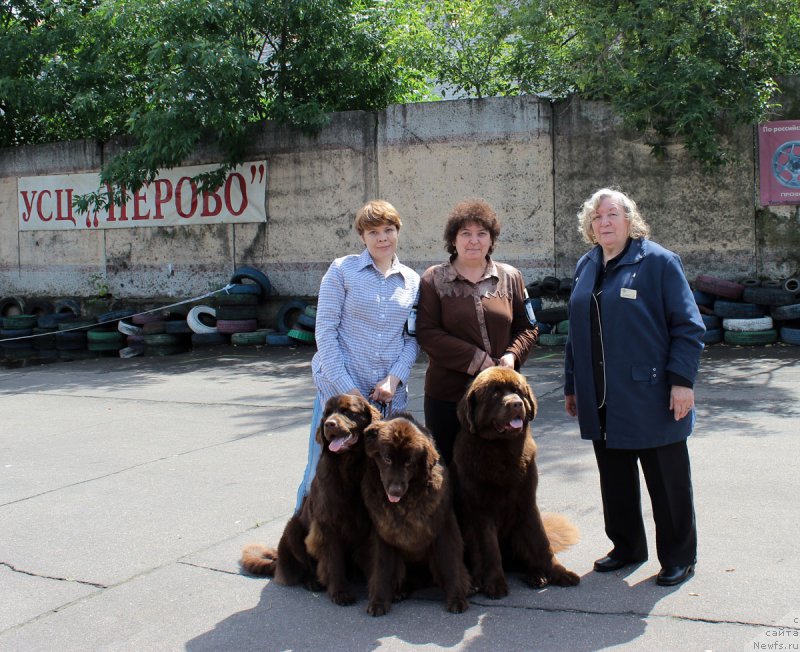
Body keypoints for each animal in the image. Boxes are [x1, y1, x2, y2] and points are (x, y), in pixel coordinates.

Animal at [239, 392, 380, 608]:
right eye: (327, 413)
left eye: (348, 411)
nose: (329, 424)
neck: (350, 468)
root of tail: (278, 563)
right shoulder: (326, 524)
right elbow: (333, 561)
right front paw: (340, 593)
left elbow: (374, 561)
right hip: (293, 529)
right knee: (305, 567)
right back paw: (313, 582)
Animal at [360, 418, 472, 616]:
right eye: (387, 458)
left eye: (409, 462)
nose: (395, 490)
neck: (406, 504)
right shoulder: (383, 532)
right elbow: (382, 568)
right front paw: (378, 602)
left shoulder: (444, 525)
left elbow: (451, 563)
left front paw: (457, 599)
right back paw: (399, 592)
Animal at [450, 364, 580, 600]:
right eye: (495, 394)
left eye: (518, 391)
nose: (516, 403)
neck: (502, 449)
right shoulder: (482, 511)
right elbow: (491, 550)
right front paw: (495, 584)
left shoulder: (528, 504)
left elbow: (543, 544)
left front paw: (560, 573)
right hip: (468, 531)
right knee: (481, 559)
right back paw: (477, 582)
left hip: (518, 532)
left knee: (527, 559)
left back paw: (537, 575)